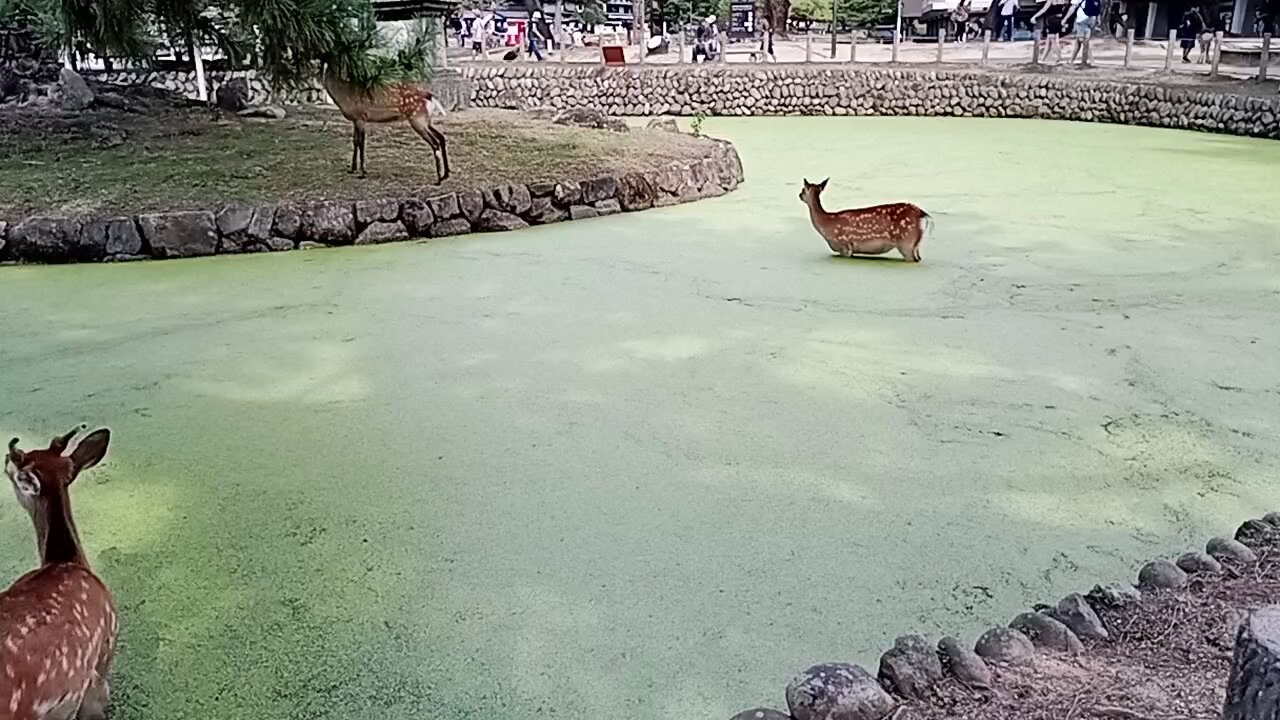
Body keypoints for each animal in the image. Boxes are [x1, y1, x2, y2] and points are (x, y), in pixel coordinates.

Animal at [320, 70, 450, 181]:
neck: (343, 95)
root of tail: (431, 97)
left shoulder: (360, 117)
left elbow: (361, 143)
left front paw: (362, 173)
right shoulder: (355, 120)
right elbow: (355, 142)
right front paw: (352, 169)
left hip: (418, 120)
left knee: (435, 142)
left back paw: (439, 179)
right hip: (426, 121)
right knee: (441, 137)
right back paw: (445, 174)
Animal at [798, 178, 931, 262]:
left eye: (803, 190)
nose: (799, 195)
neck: (826, 224)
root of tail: (922, 214)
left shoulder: (844, 245)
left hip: (906, 243)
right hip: (916, 246)